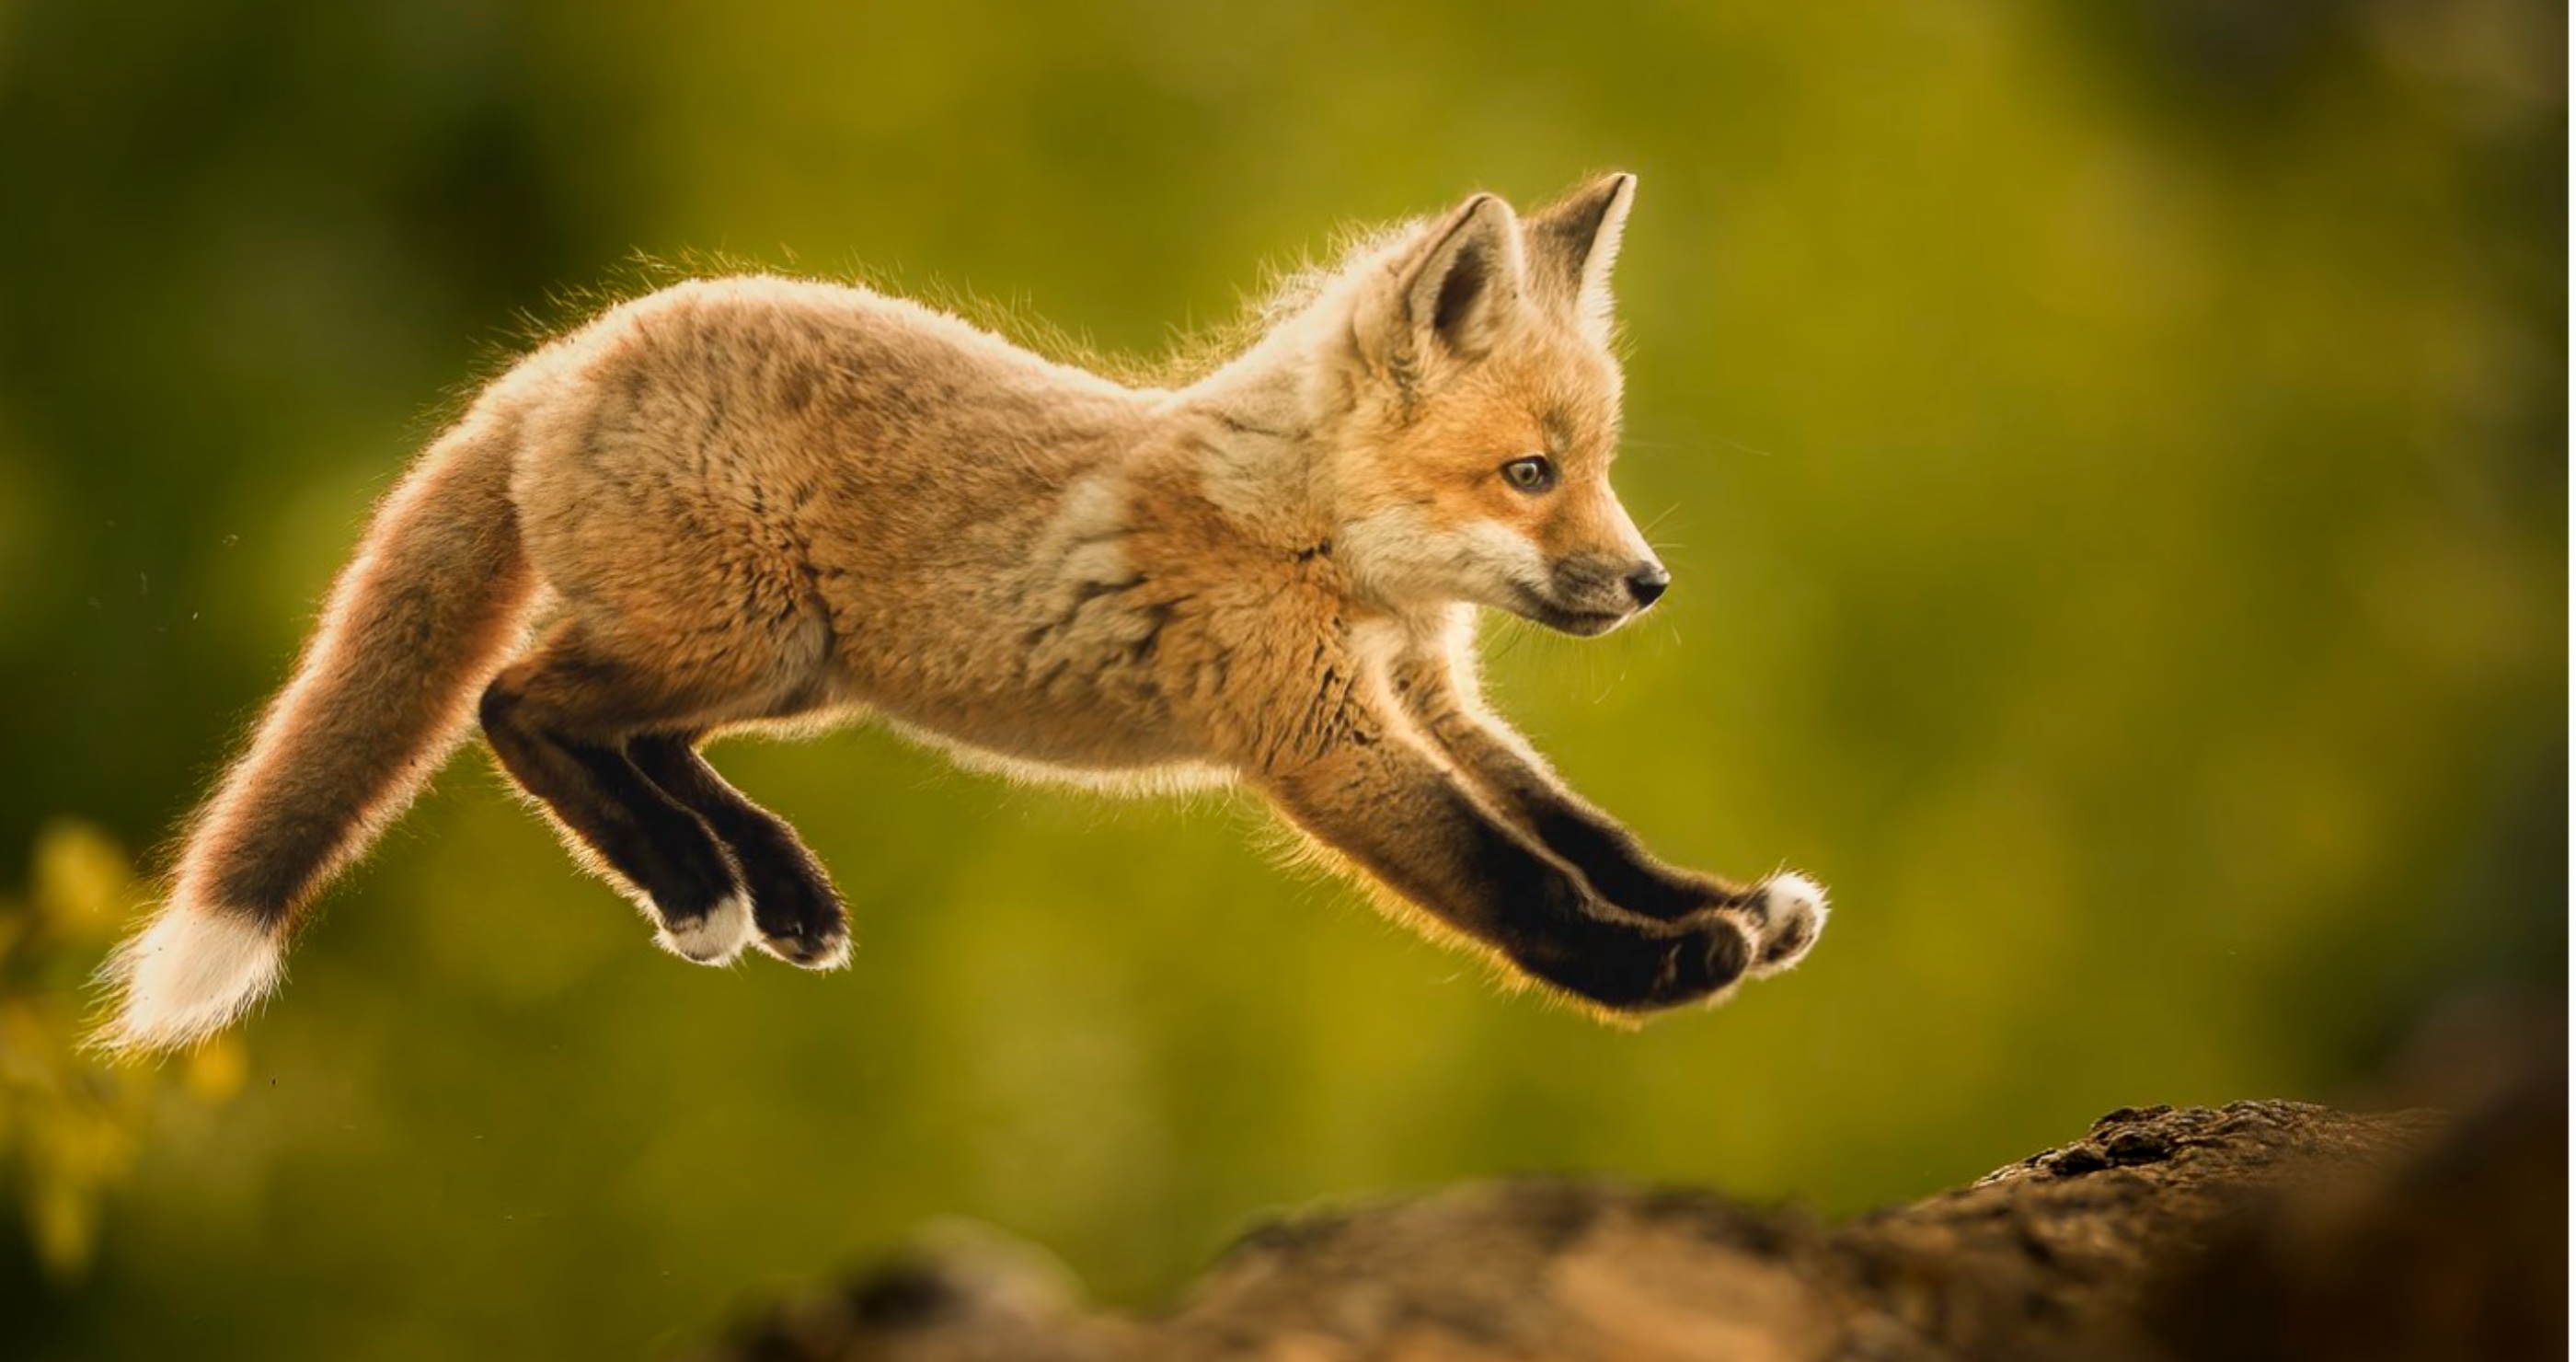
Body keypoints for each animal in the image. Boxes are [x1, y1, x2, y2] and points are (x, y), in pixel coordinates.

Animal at [97, 173, 1827, 1054]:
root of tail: (569, 354)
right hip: (738, 638)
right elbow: (1509, 880)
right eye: (1530, 473)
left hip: (785, 671)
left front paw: (1727, 904)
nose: (1649, 583)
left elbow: (1584, 830)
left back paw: (771, 886)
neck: (1321, 544)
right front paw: (1661, 973)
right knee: (513, 706)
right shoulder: (1323, 733)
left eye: (1592, 469)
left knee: (625, 734)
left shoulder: (1433, 697)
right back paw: (703, 887)